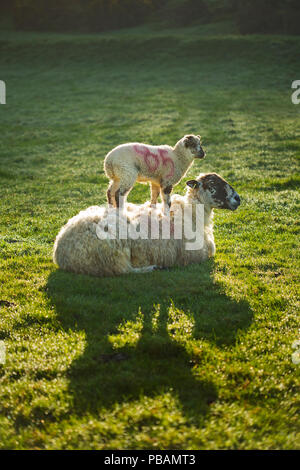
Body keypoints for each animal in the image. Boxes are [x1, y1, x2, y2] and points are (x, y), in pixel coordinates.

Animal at [52, 173, 240, 278]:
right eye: (213, 184)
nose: (238, 198)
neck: (193, 215)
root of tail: (59, 249)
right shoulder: (195, 256)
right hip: (112, 255)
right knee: (124, 271)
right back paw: (152, 268)